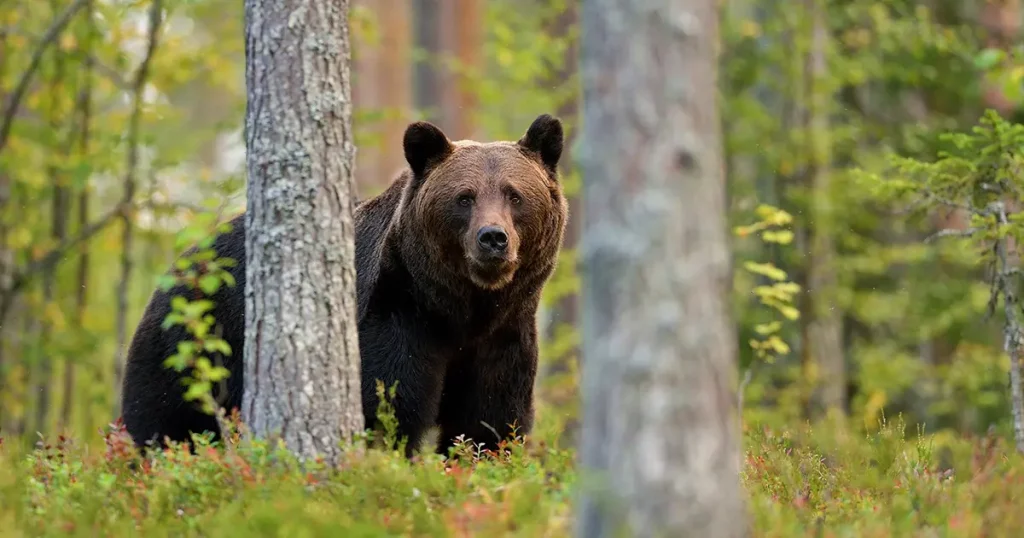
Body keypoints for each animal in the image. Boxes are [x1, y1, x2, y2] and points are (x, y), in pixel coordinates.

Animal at [121, 114, 569, 457]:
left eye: (514, 195)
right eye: (464, 197)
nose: (492, 238)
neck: (461, 308)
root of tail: (181, 265)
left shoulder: (503, 336)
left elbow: (489, 422)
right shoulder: (397, 313)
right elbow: (389, 405)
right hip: (194, 343)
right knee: (166, 422)